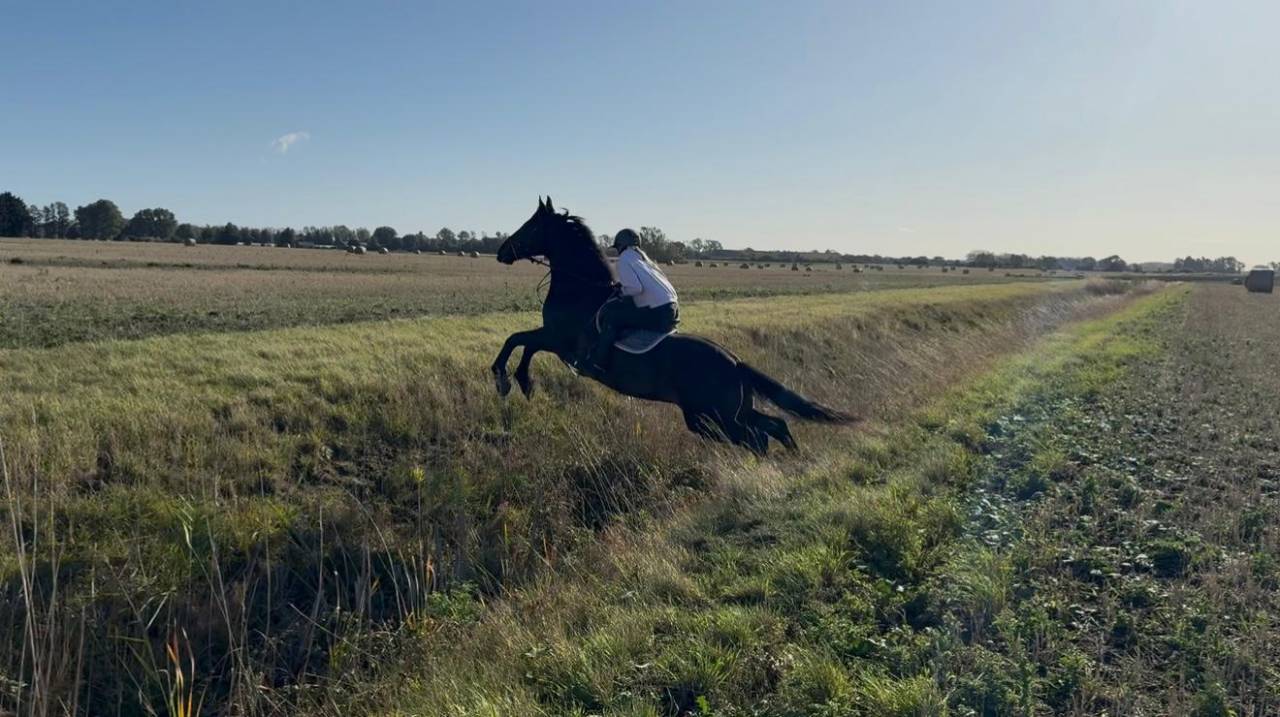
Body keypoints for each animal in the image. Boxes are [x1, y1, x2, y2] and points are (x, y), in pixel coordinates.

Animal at [490, 197, 854, 454]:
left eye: (530, 226)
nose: (501, 251)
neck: (581, 290)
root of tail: (736, 363)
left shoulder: (558, 340)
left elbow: (518, 340)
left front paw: (509, 380)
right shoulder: (555, 341)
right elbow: (521, 342)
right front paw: (519, 382)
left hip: (714, 416)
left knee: (757, 436)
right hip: (723, 412)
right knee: (774, 426)